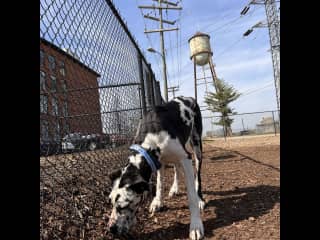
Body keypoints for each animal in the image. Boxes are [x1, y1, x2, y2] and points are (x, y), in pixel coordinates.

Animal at [107, 96, 205, 240]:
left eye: (125, 205)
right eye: (111, 202)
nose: (111, 229)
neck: (151, 136)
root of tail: (189, 98)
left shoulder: (186, 158)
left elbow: (191, 196)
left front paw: (196, 226)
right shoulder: (158, 162)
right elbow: (159, 183)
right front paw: (157, 202)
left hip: (196, 145)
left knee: (197, 175)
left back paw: (200, 199)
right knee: (176, 168)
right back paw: (174, 188)